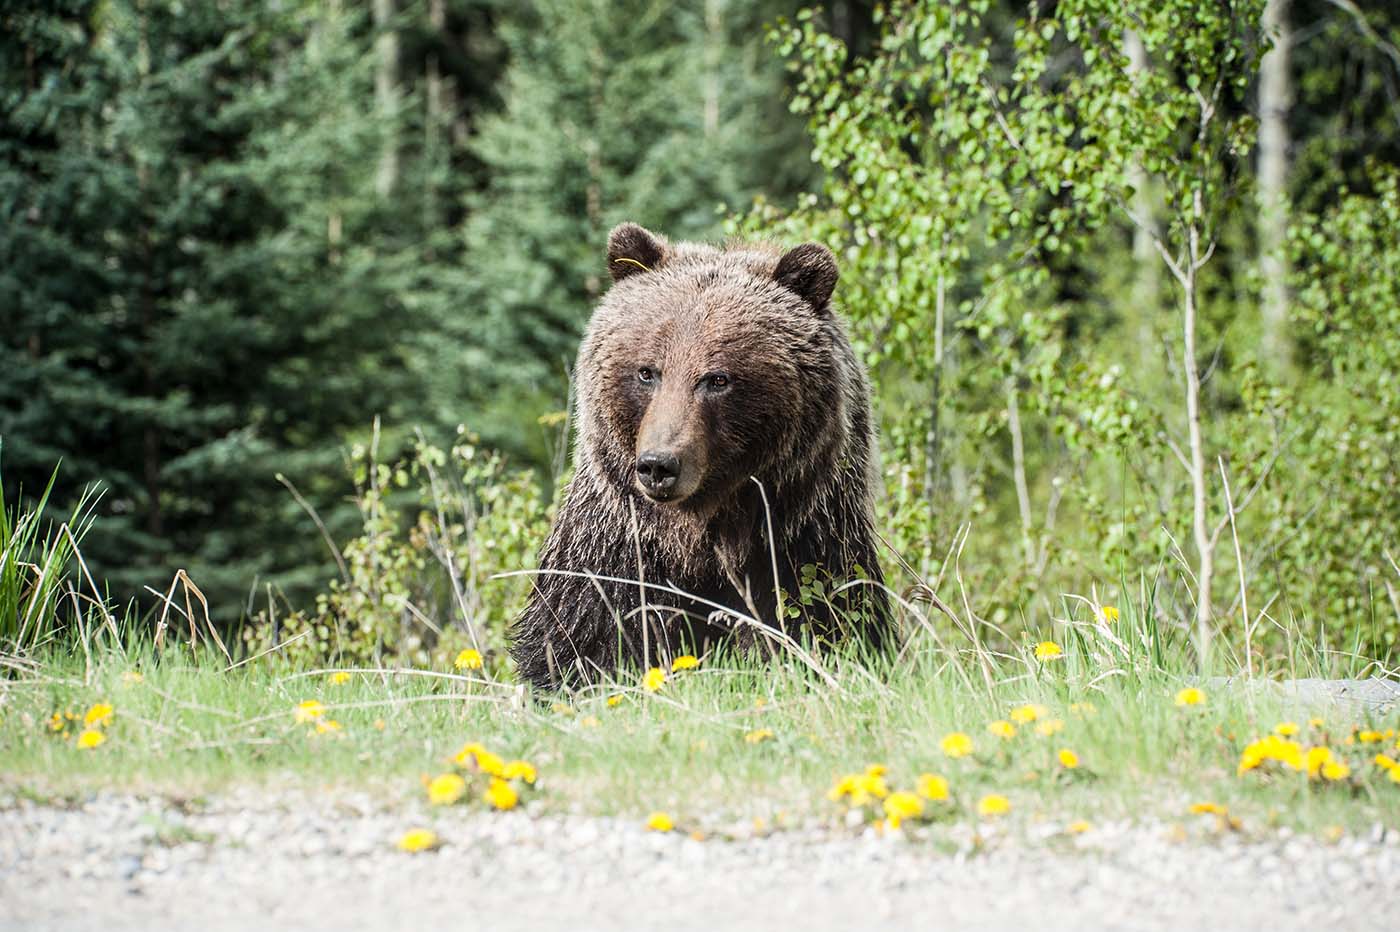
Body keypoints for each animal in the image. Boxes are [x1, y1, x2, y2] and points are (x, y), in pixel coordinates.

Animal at [509, 218, 890, 682]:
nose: (658, 465)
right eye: (647, 372)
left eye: (717, 379)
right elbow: (584, 637)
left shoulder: (801, 541)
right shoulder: (617, 547)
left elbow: (822, 620)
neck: (701, 533)